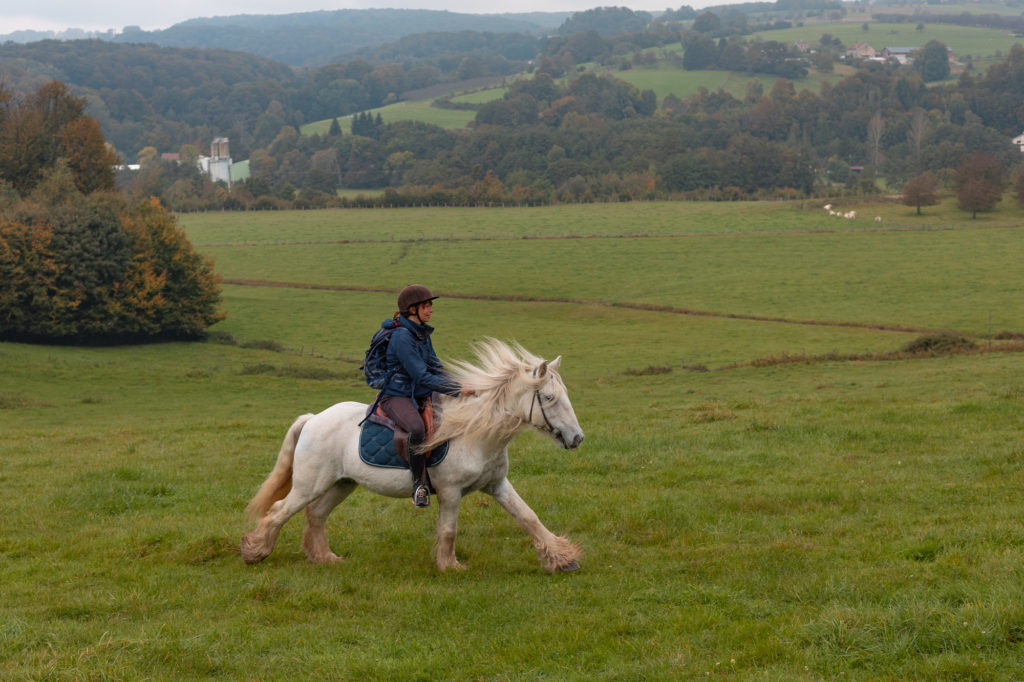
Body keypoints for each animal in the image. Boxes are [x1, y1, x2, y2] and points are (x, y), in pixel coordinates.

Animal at [238, 337, 585, 569]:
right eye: (550, 398)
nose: (577, 438)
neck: (476, 434)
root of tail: (312, 419)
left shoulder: (497, 485)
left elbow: (528, 517)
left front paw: (562, 558)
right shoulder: (450, 491)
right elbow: (449, 529)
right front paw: (450, 567)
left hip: (342, 483)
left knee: (316, 514)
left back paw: (325, 558)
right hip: (310, 484)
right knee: (281, 510)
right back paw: (255, 552)